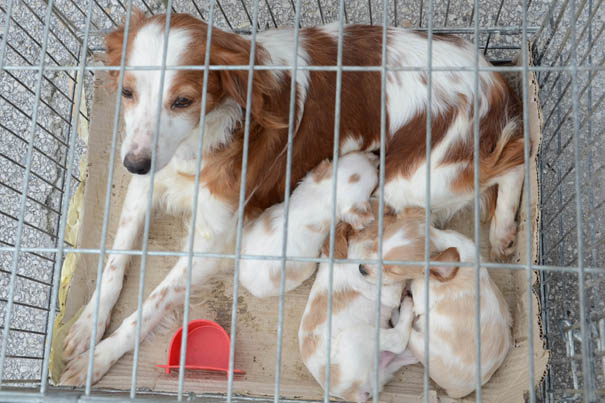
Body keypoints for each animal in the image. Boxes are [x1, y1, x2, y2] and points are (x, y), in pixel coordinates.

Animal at [360, 208, 513, 398]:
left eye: (393, 271)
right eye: (374, 245)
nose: (361, 269)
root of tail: (462, 391)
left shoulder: (421, 295)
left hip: (421, 343)